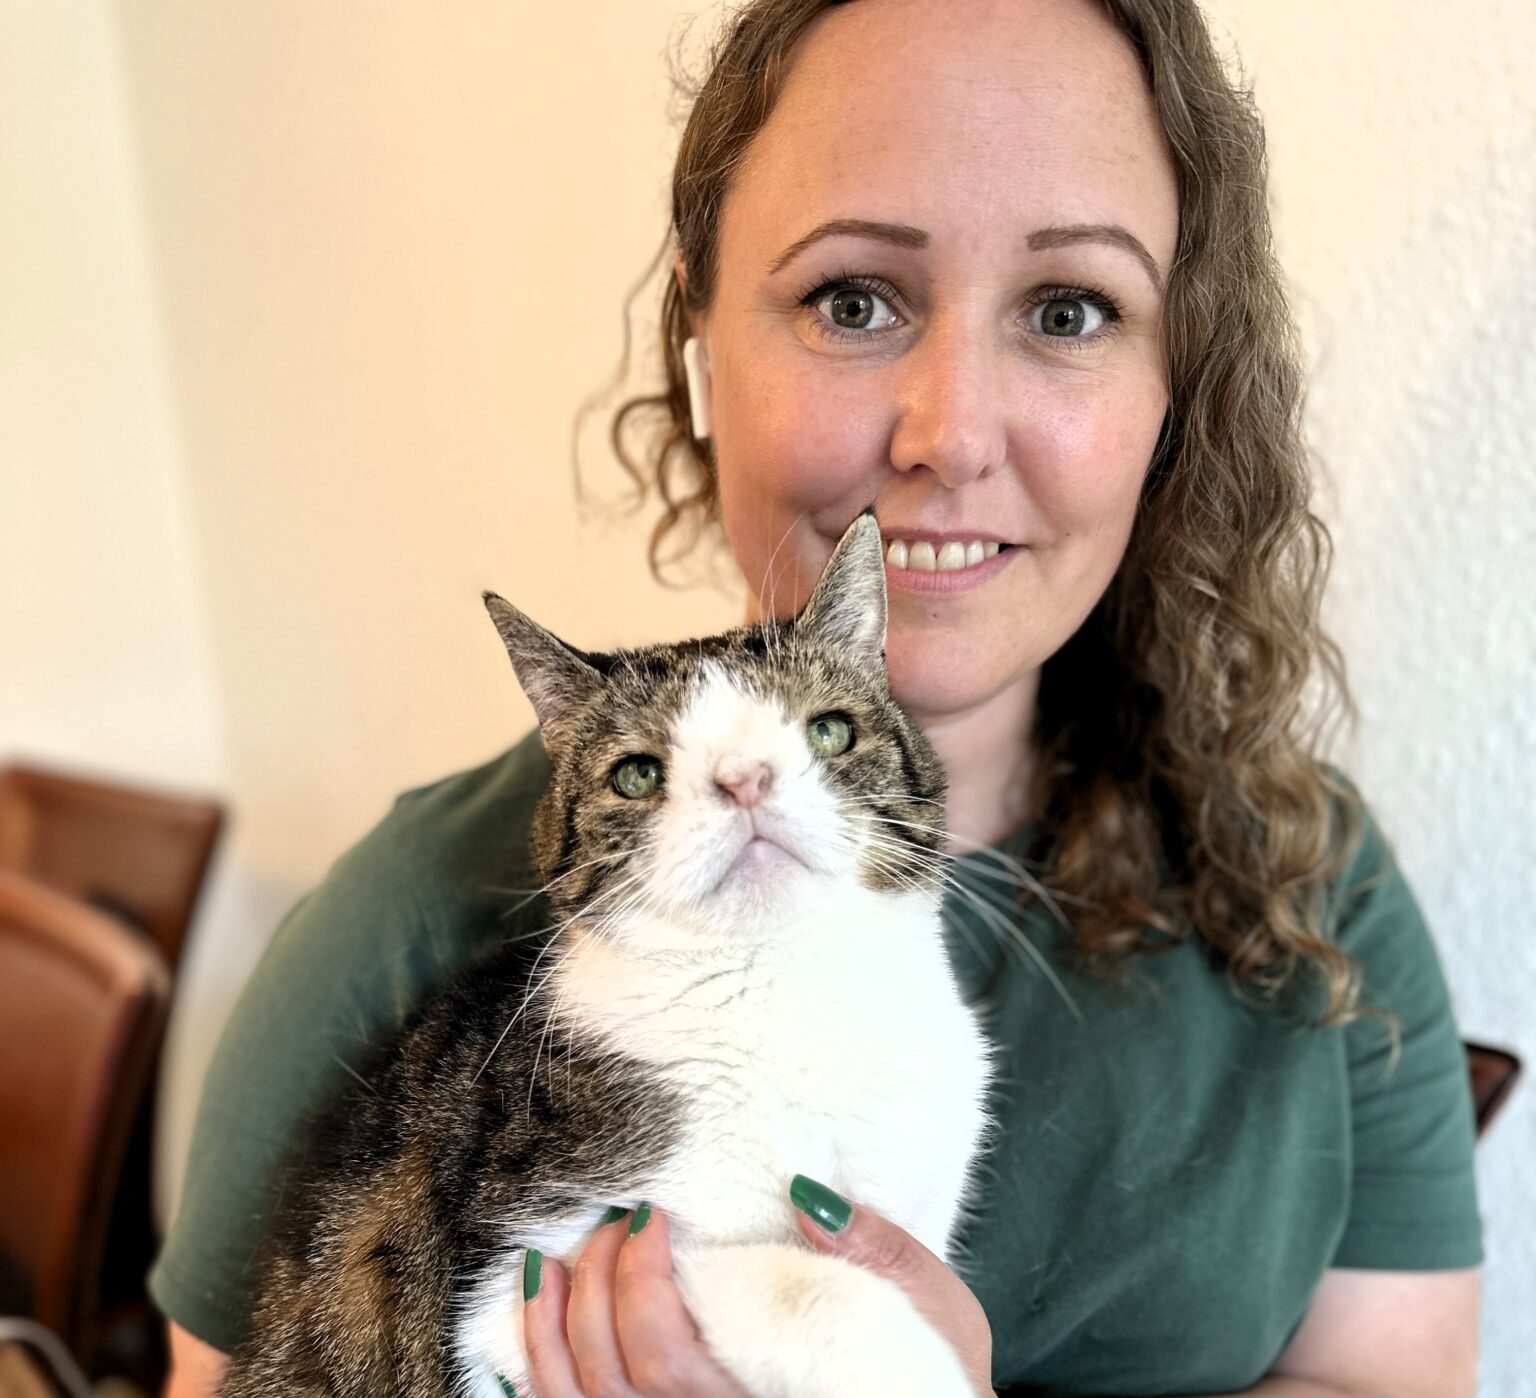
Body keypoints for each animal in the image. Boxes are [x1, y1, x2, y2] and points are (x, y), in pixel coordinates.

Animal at [224, 513, 995, 1398]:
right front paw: (913, 1361)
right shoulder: (520, 1285)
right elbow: (792, 1283)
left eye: (829, 730)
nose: (746, 780)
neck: (782, 991)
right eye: (635, 775)